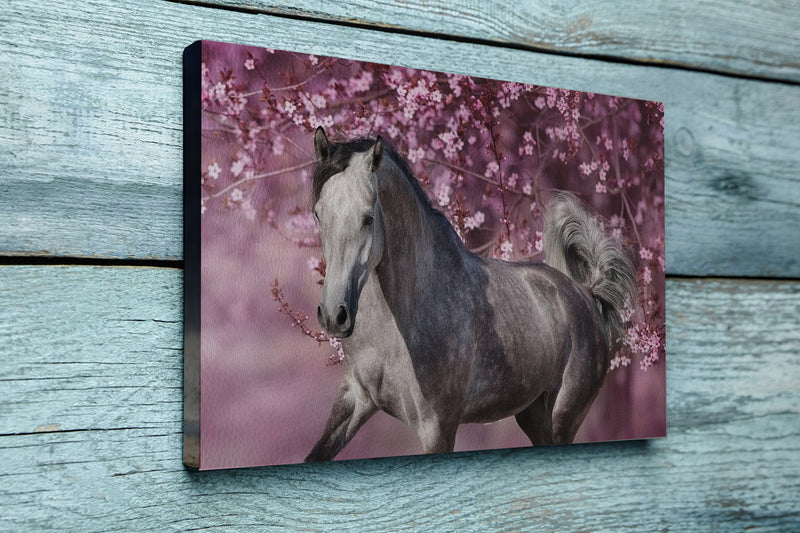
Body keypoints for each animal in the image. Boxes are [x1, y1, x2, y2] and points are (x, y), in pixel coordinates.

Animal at [304, 125, 636, 462]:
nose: (334, 315)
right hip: (533, 415)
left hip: (561, 420)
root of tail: (586, 294)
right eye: (318, 214)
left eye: (368, 218)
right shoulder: (356, 398)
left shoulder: (437, 426)